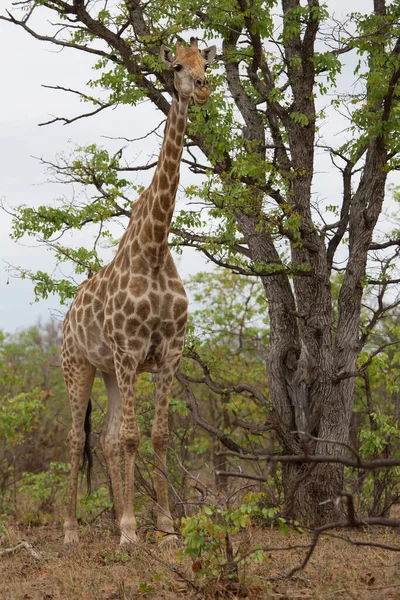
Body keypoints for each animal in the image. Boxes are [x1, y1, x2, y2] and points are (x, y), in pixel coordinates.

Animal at [60, 36, 216, 544]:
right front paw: (131, 531)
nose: (202, 88)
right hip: (80, 366)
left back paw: (110, 517)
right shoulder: (130, 350)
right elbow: (131, 437)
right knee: (77, 438)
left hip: (109, 371)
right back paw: (72, 528)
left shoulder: (169, 352)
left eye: (205, 63)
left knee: (105, 438)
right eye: (176, 66)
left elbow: (157, 435)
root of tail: (66, 316)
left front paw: (164, 525)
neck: (154, 247)